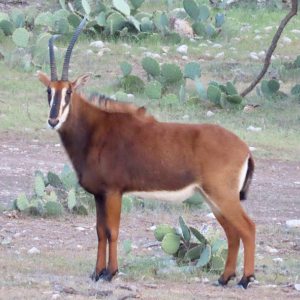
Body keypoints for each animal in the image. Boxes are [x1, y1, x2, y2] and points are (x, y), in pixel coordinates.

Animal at [37, 17, 255, 290]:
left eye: (69, 91)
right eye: (48, 92)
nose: (53, 121)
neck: (95, 129)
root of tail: (244, 148)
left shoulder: (113, 192)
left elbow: (112, 231)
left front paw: (111, 273)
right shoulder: (98, 194)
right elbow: (99, 231)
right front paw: (96, 273)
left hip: (223, 196)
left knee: (247, 228)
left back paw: (245, 279)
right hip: (212, 198)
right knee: (232, 232)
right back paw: (224, 278)